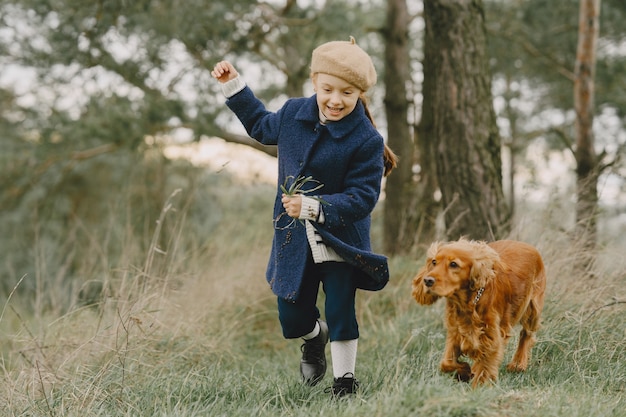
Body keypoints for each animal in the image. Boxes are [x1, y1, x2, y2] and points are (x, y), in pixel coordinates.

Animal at [410, 237, 540, 386]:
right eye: (434, 262)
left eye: (453, 264)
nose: (427, 280)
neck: (466, 303)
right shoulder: (455, 333)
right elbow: (446, 363)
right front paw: (464, 371)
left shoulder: (490, 336)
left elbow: (485, 366)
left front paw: (478, 385)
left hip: (532, 308)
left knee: (526, 334)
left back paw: (518, 364)